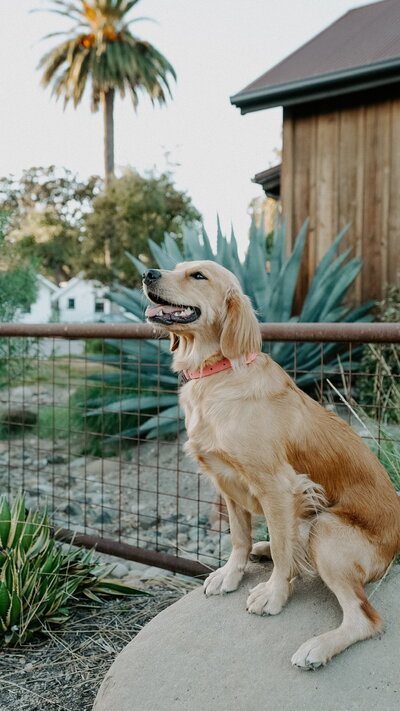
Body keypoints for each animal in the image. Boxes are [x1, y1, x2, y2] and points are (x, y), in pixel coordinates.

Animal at [142, 260, 398, 668]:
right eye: (177, 268)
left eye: (198, 276)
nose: (148, 273)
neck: (218, 373)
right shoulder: (226, 482)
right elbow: (238, 538)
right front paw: (231, 575)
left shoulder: (278, 486)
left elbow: (281, 549)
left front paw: (274, 594)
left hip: (326, 529)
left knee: (366, 618)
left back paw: (317, 647)